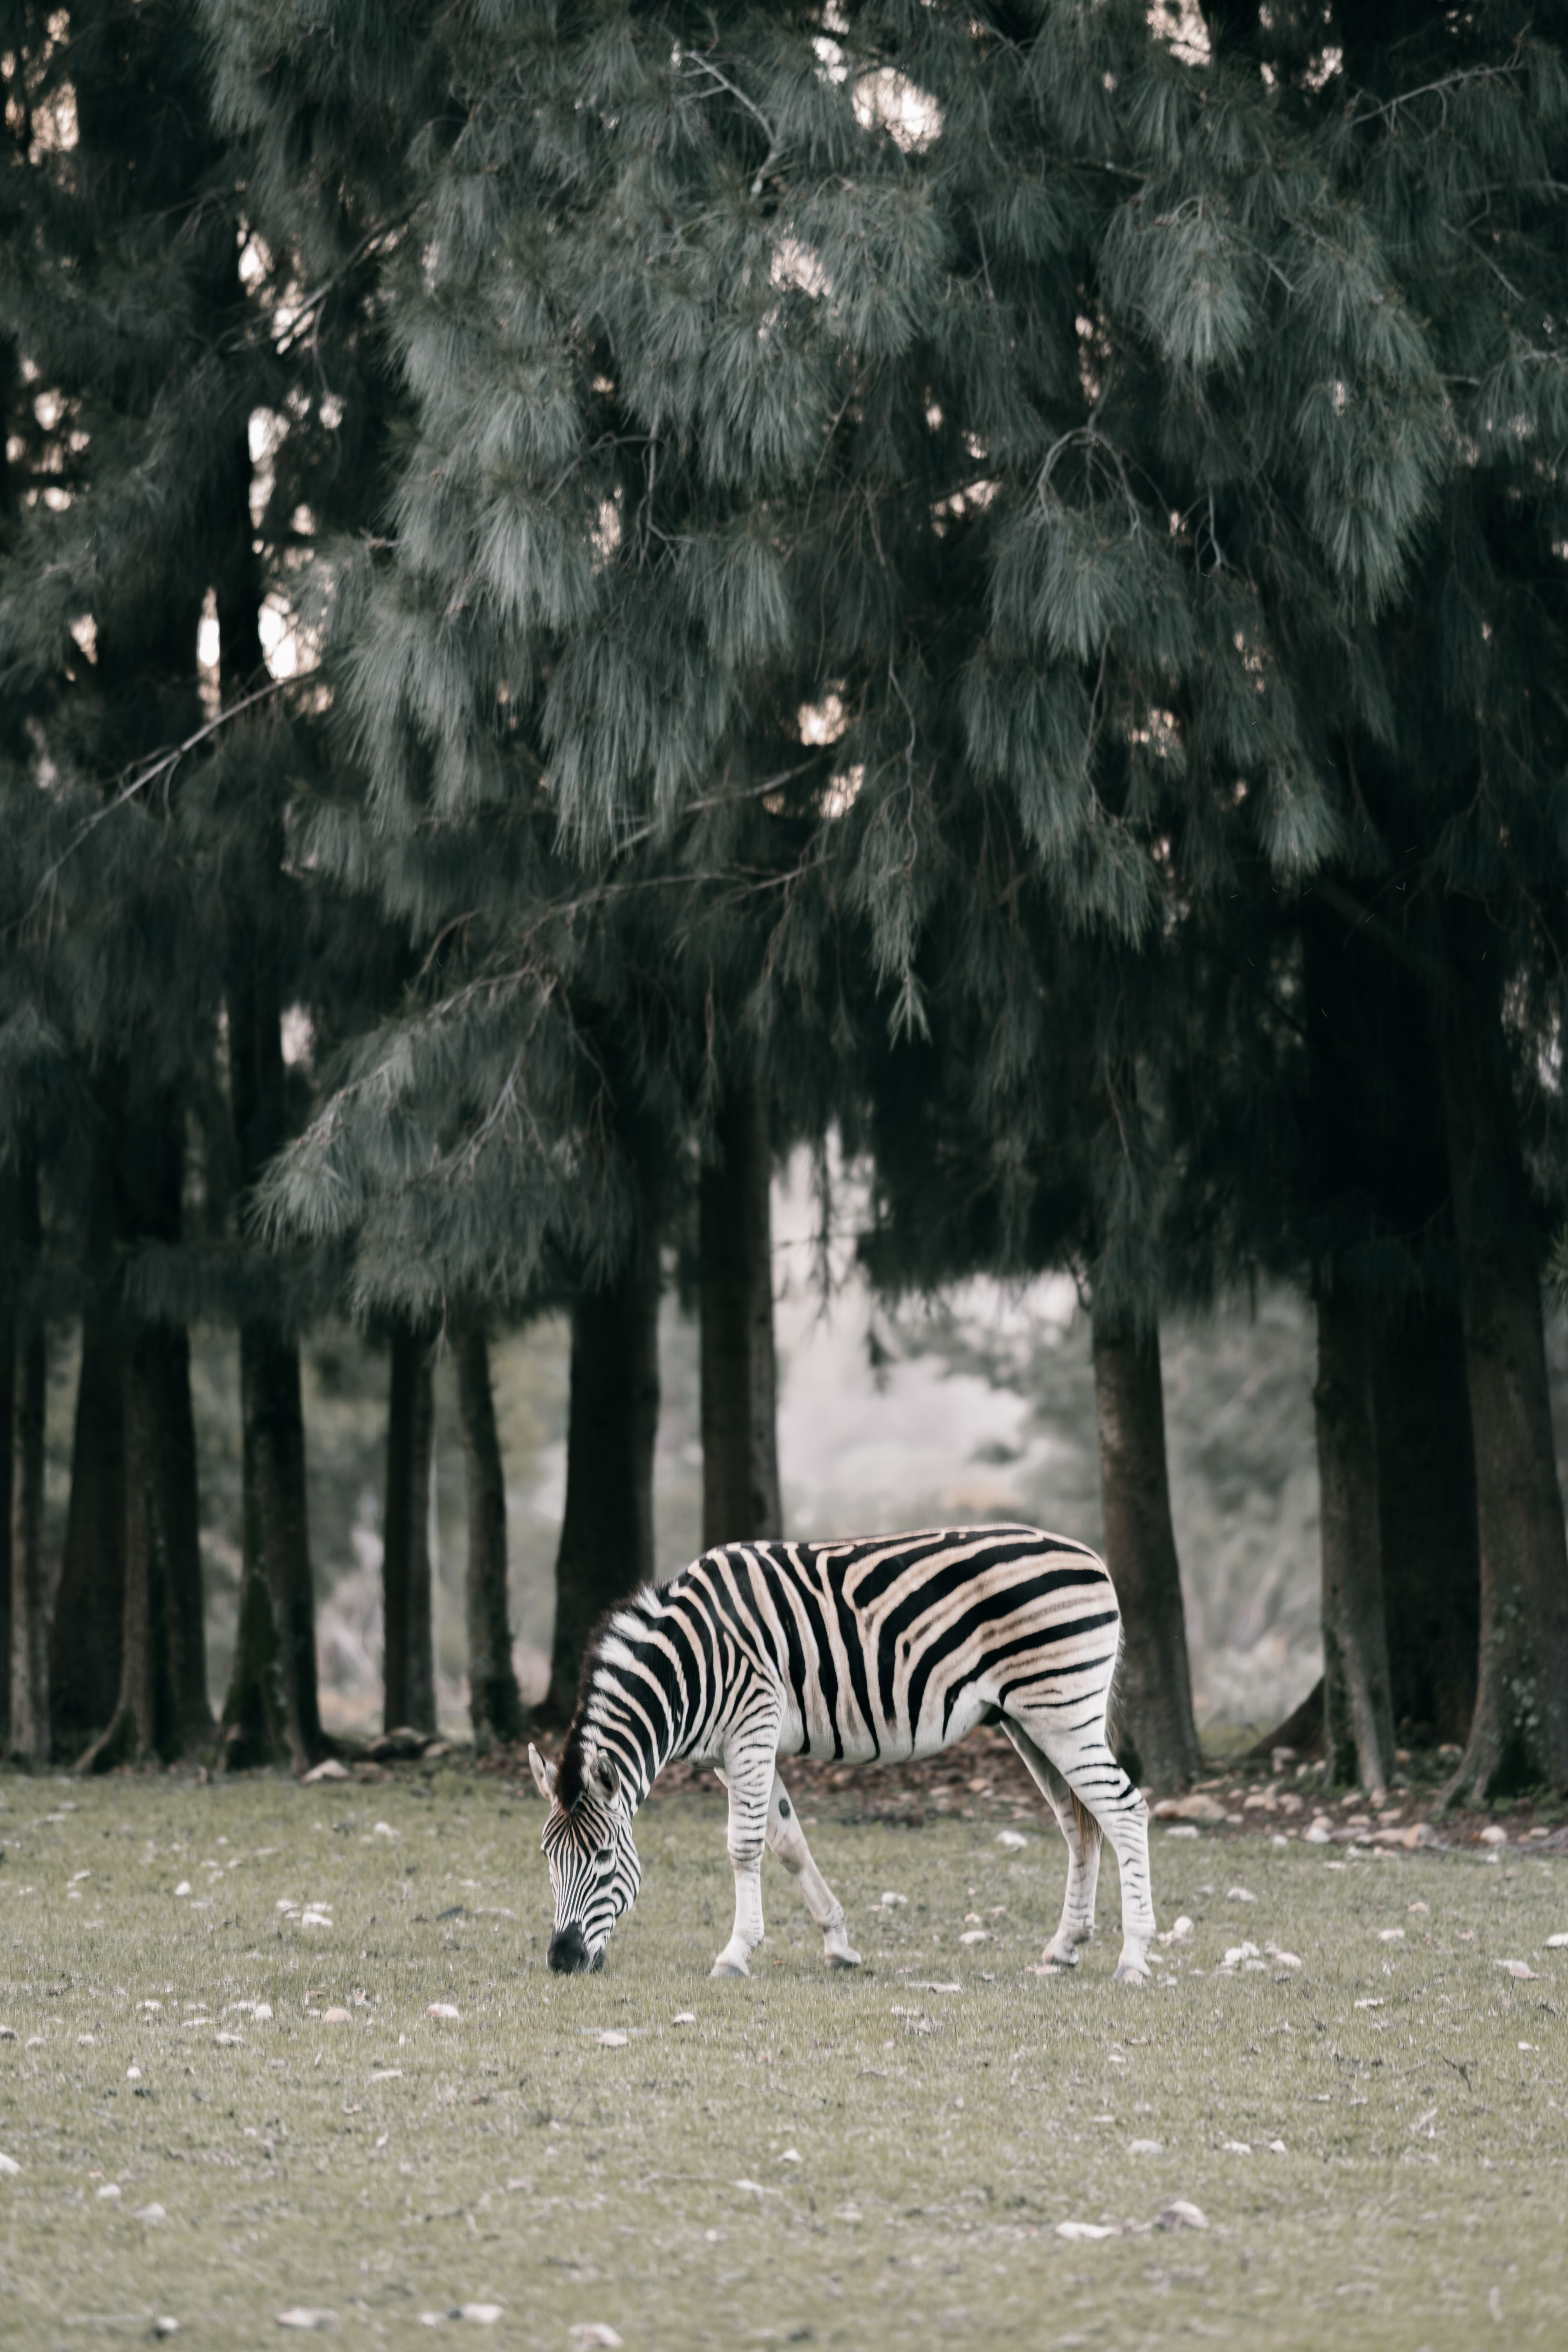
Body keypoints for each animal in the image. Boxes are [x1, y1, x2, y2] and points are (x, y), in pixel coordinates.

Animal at [528, 1524, 1155, 1984]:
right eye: (546, 1857)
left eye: (605, 1857)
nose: (562, 1960)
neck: (689, 1665)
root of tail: (1091, 1557)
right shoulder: (738, 1752)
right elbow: (788, 1844)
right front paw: (838, 1945)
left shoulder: (752, 1729)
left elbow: (744, 1847)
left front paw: (735, 1953)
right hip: (1033, 1721)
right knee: (1080, 1826)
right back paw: (1064, 1947)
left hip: (1063, 1712)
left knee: (1125, 1811)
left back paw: (1134, 1958)